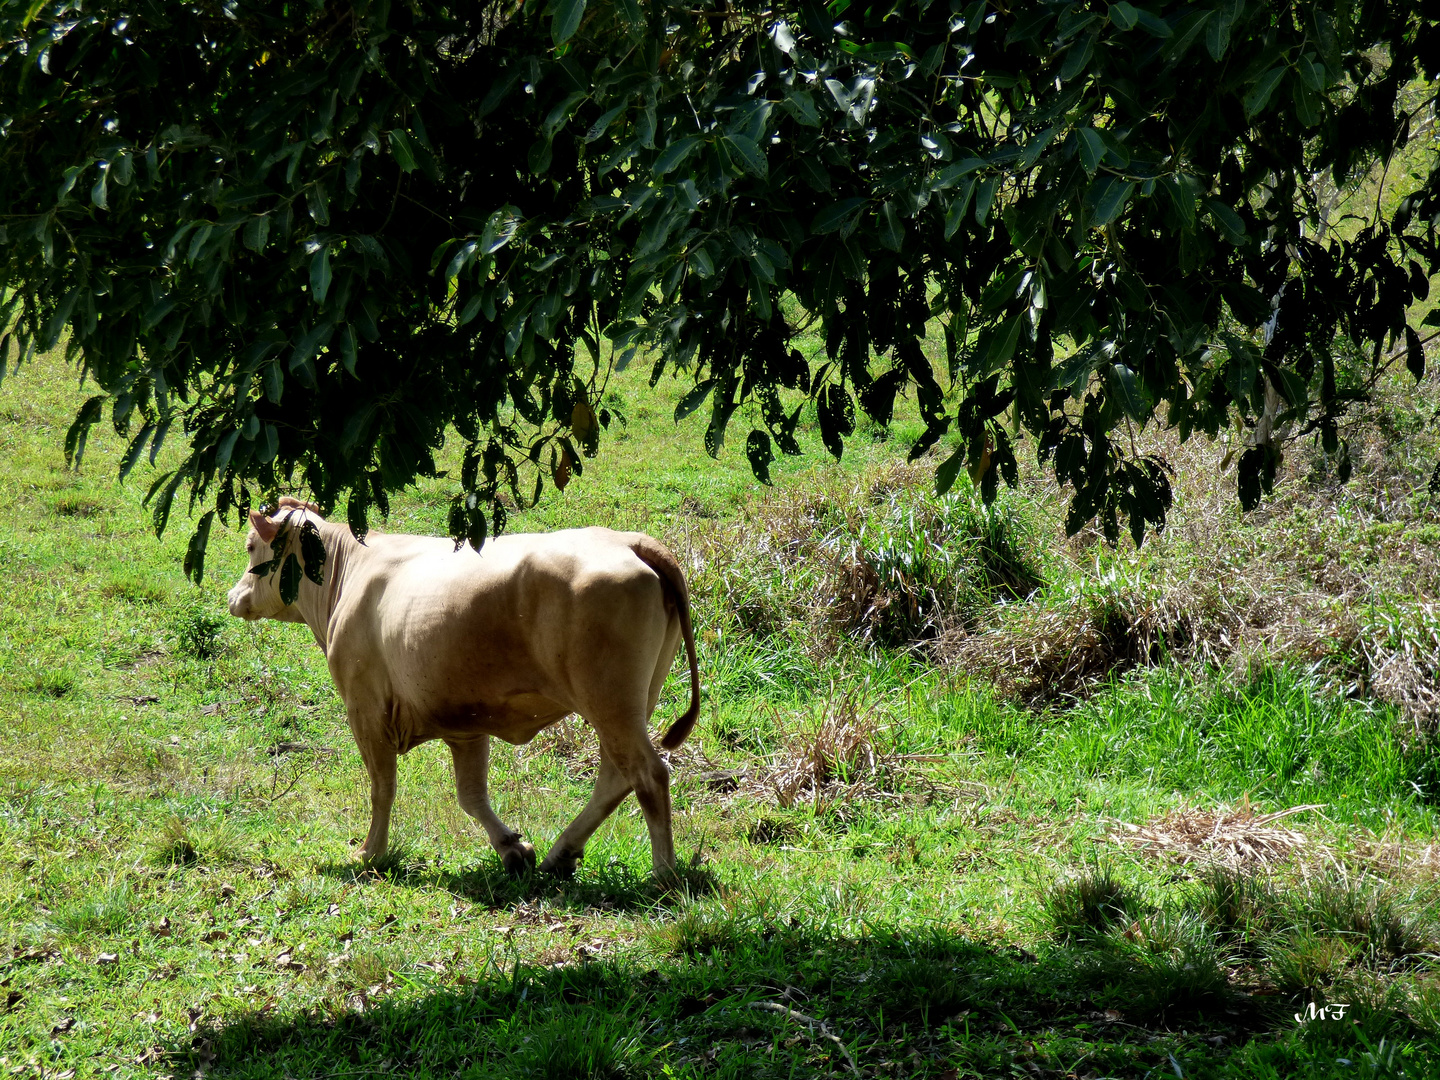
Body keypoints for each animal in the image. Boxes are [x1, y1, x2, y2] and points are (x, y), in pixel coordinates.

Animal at [224, 498, 696, 881]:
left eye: (250, 547)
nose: (233, 596)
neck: (348, 572)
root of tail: (628, 541)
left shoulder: (366, 708)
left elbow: (382, 787)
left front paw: (370, 853)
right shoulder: (465, 723)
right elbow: (471, 795)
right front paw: (513, 849)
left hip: (611, 703)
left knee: (648, 774)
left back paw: (664, 873)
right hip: (632, 703)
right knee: (616, 778)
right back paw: (560, 854)